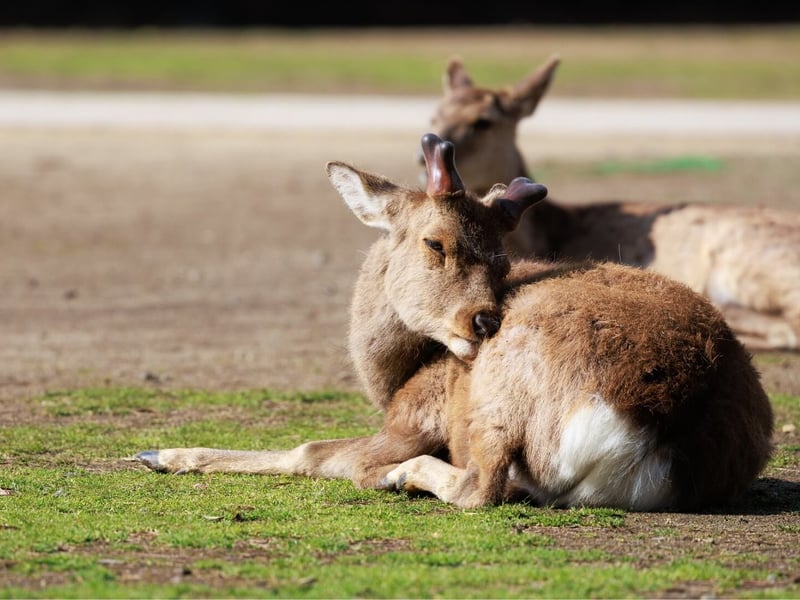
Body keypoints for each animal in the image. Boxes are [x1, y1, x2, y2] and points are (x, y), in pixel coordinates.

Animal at [135, 133, 774, 511]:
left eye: (502, 258)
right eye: (435, 242)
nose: (484, 322)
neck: (393, 376)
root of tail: (660, 420)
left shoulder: (411, 414)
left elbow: (311, 450)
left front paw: (158, 453)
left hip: (496, 399)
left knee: (480, 487)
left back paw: (405, 476)